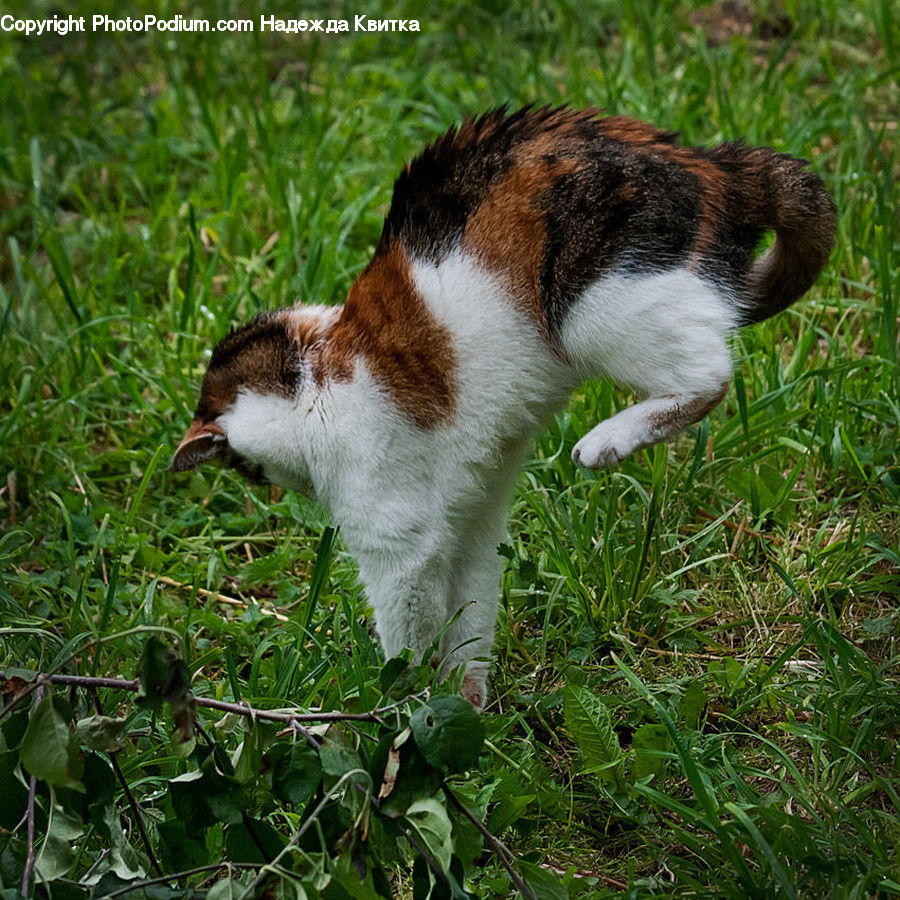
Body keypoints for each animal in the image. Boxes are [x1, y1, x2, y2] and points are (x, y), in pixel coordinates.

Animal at [171, 105, 836, 712]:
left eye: (245, 466)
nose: (266, 483)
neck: (315, 380)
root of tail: (713, 162)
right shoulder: (472, 521)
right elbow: (469, 618)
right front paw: (464, 704)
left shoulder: (396, 539)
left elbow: (408, 632)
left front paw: (401, 707)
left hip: (592, 304)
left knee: (709, 375)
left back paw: (606, 442)